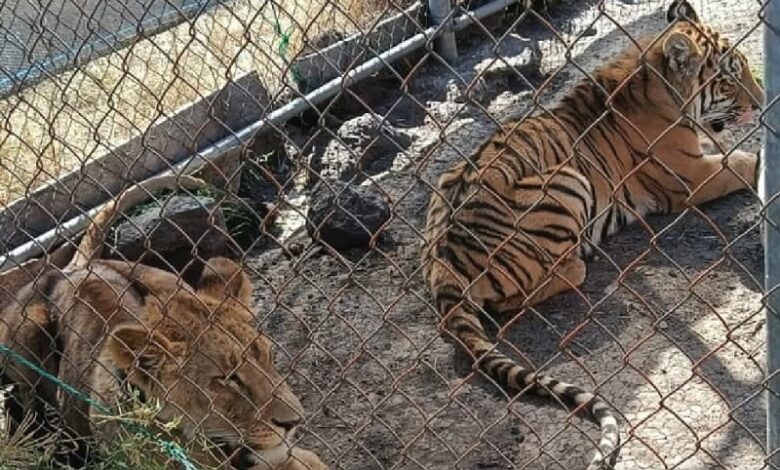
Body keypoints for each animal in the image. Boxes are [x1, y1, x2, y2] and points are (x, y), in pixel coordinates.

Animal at [419, 1, 763, 468]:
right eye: (730, 78)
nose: (761, 101)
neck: (654, 79)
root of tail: (443, 263)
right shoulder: (691, 176)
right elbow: (746, 162)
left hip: (449, 179)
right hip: (568, 182)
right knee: (528, 291)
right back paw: (584, 258)